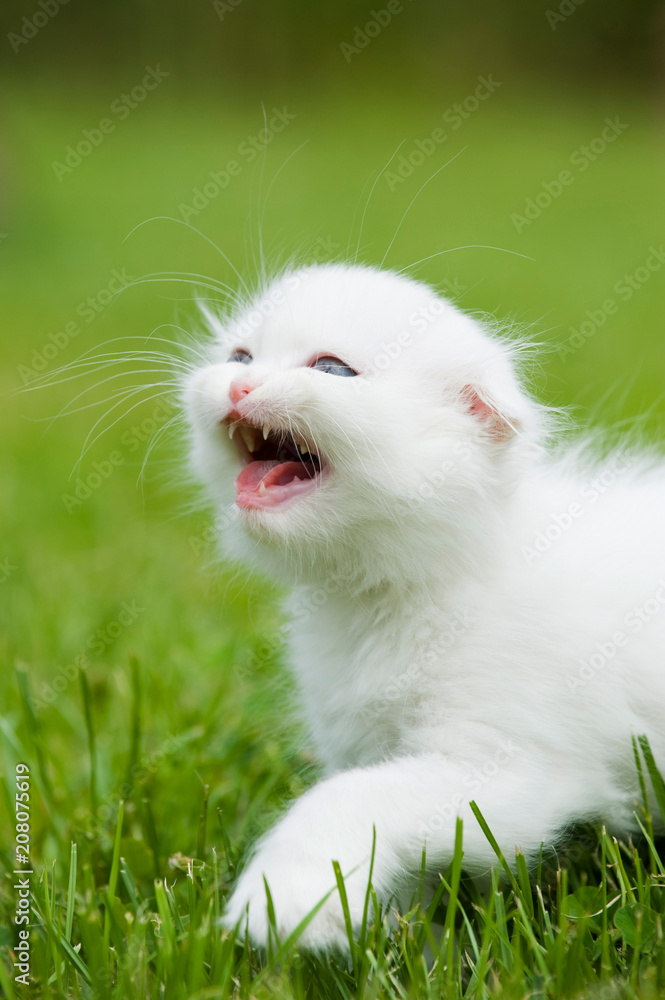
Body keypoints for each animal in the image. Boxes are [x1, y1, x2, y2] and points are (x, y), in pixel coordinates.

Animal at [182, 262, 664, 948]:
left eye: (332, 369)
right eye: (239, 357)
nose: (240, 383)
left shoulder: (518, 767)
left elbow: (355, 796)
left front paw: (285, 896)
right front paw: (407, 937)